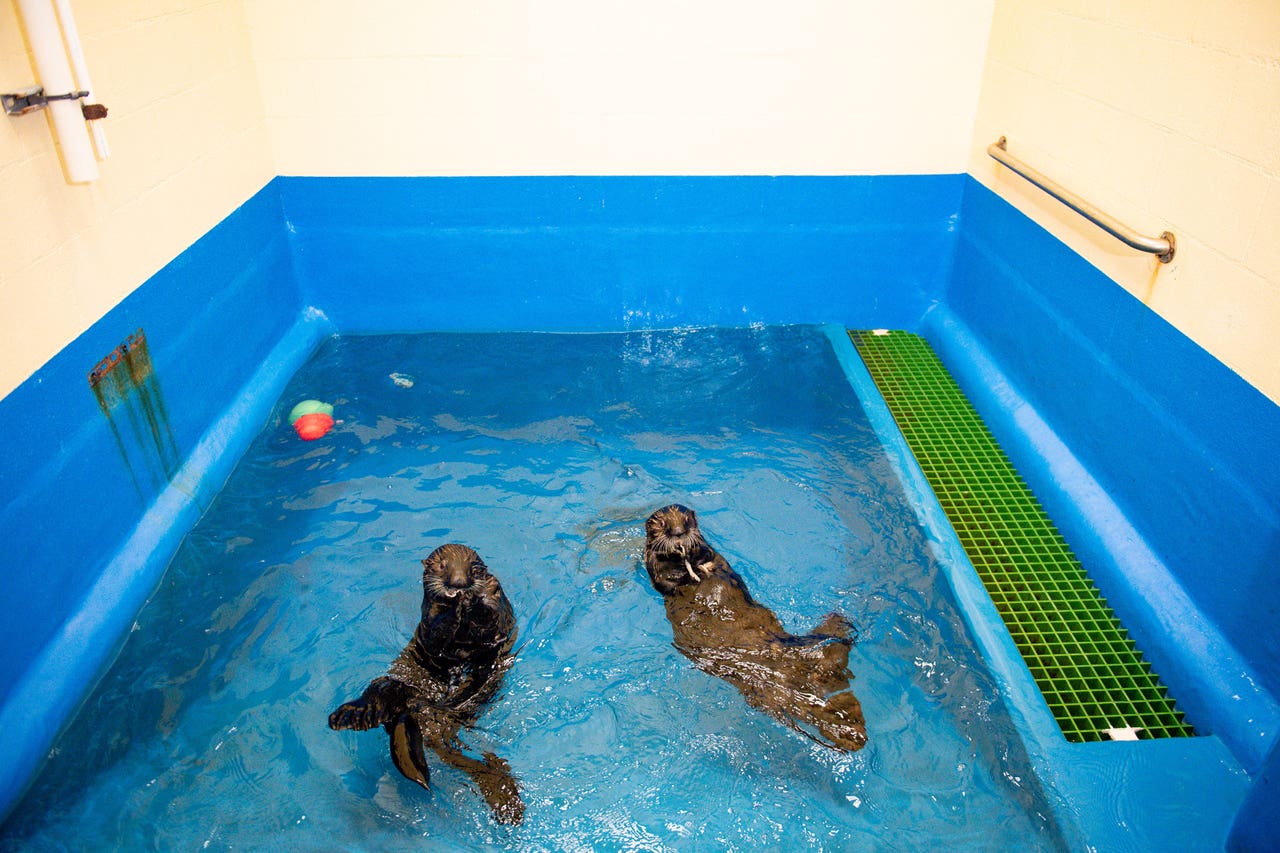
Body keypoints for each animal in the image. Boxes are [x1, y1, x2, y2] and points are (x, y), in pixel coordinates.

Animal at [328, 543, 524, 824]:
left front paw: (474, 601)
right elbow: (435, 634)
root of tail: (421, 713)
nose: (458, 584)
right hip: (394, 687)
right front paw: (455, 608)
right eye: (442, 566)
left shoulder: (498, 607)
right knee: (382, 696)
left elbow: (491, 619)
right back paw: (349, 715)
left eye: (472, 569)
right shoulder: (429, 617)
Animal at [643, 504, 866, 751]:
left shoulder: (712, 554)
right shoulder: (654, 569)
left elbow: (708, 555)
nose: (679, 532)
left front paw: (693, 554)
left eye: (686, 520)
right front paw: (681, 563)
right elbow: (664, 580)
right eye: (664, 524)